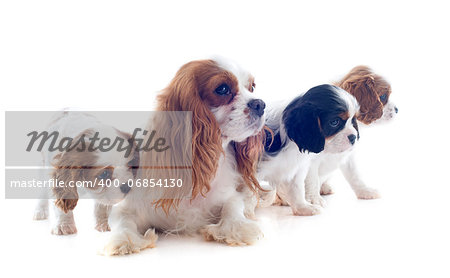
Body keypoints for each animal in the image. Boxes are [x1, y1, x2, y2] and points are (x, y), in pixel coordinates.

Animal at [256, 84, 376, 215]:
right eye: (334, 122)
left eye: (353, 120)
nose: (353, 137)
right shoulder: (309, 163)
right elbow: (311, 180)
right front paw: (314, 200)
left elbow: (355, 175)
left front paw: (365, 191)